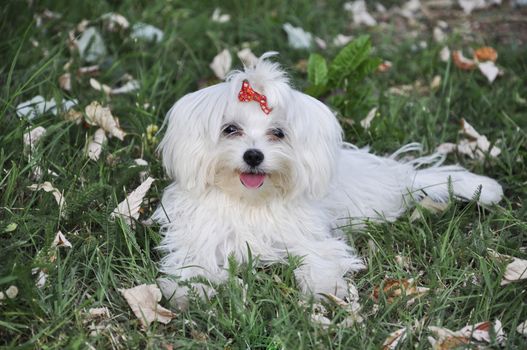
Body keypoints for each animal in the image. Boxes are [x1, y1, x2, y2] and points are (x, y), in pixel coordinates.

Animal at [153, 52, 504, 308]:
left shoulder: (307, 234)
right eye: (230, 129)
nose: (253, 156)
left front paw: (324, 287)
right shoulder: (198, 234)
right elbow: (193, 260)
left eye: (278, 133)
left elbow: (319, 255)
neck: (249, 201)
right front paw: (188, 290)